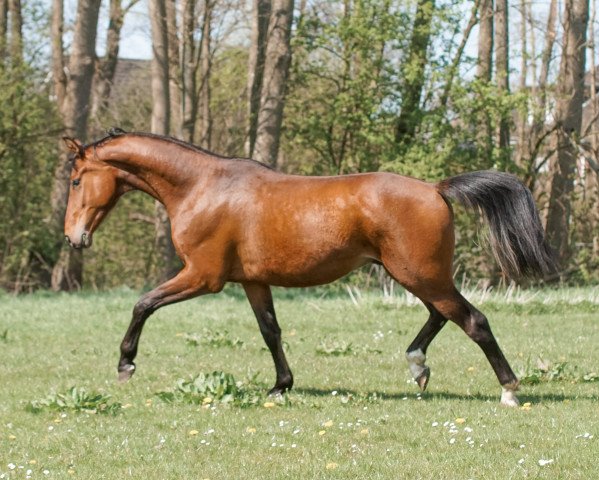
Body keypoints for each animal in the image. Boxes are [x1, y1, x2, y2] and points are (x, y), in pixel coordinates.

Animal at [63, 129, 556, 406]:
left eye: (74, 180)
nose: (73, 237)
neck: (201, 187)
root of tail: (435, 188)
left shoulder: (204, 277)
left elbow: (143, 304)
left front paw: (125, 364)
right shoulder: (253, 282)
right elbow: (270, 332)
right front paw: (281, 386)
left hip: (420, 274)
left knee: (472, 320)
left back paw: (509, 390)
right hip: (418, 275)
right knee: (442, 314)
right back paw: (418, 367)